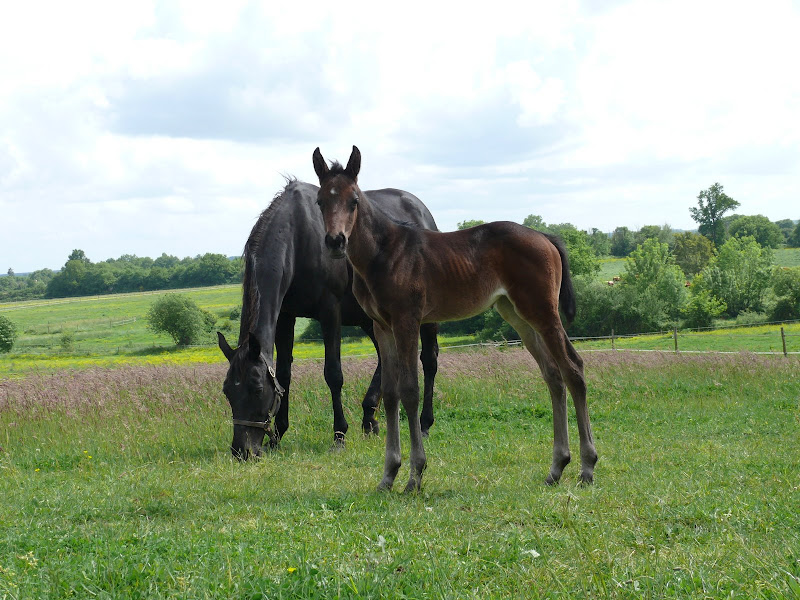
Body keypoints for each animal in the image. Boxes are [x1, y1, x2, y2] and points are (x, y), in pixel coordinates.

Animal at [217, 179, 440, 459]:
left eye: (256, 389)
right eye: (227, 391)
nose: (242, 451)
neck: (298, 235)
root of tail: (421, 211)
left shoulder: (330, 311)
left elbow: (333, 373)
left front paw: (339, 435)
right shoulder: (286, 317)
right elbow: (284, 373)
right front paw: (278, 434)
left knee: (429, 360)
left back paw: (424, 424)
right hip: (371, 318)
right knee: (386, 358)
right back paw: (370, 418)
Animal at [312, 146, 598, 492]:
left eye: (353, 200)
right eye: (320, 201)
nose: (335, 241)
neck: (384, 253)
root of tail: (545, 237)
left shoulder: (408, 320)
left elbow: (410, 389)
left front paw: (415, 475)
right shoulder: (382, 327)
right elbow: (391, 393)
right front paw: (387, 475)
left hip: (542, 311)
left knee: (573, 369)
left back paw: (587, 467)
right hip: (516, 314)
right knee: (553, 375)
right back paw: (557, 467)